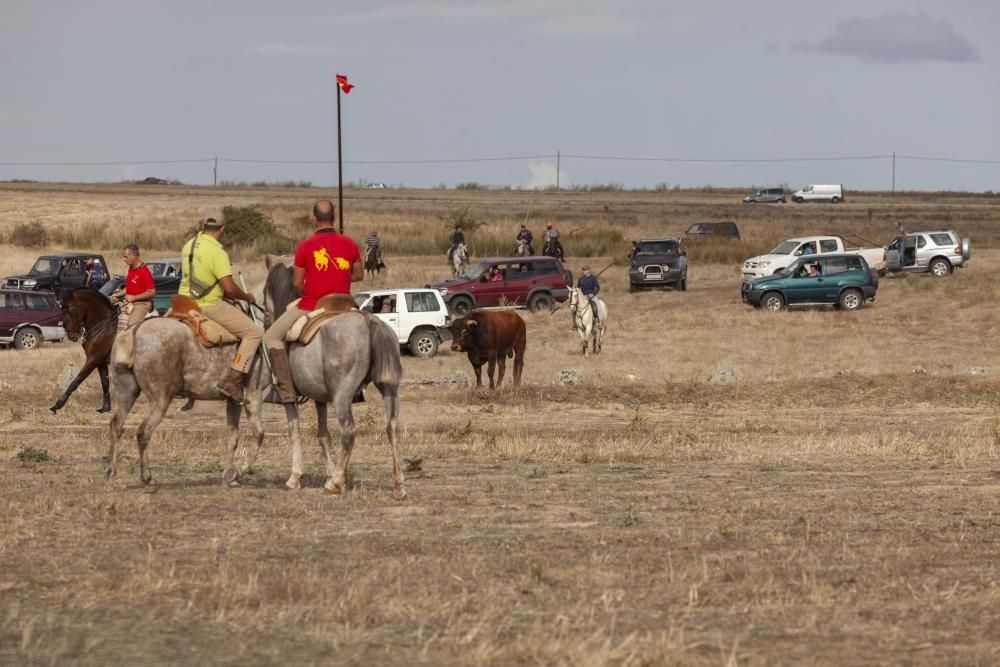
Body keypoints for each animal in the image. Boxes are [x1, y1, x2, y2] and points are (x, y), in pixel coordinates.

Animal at [266, 258, 410, 498]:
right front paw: (332, 473)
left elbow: (294, 431)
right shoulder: (320, 398)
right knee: (392, 428)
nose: (266, 319)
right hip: (389, 387)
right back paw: (398, 485)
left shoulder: (290, 399)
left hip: (342, 395)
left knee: (349, 431)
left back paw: (333, 484)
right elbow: (323, 435)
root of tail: (368, 320)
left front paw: (296, 477)